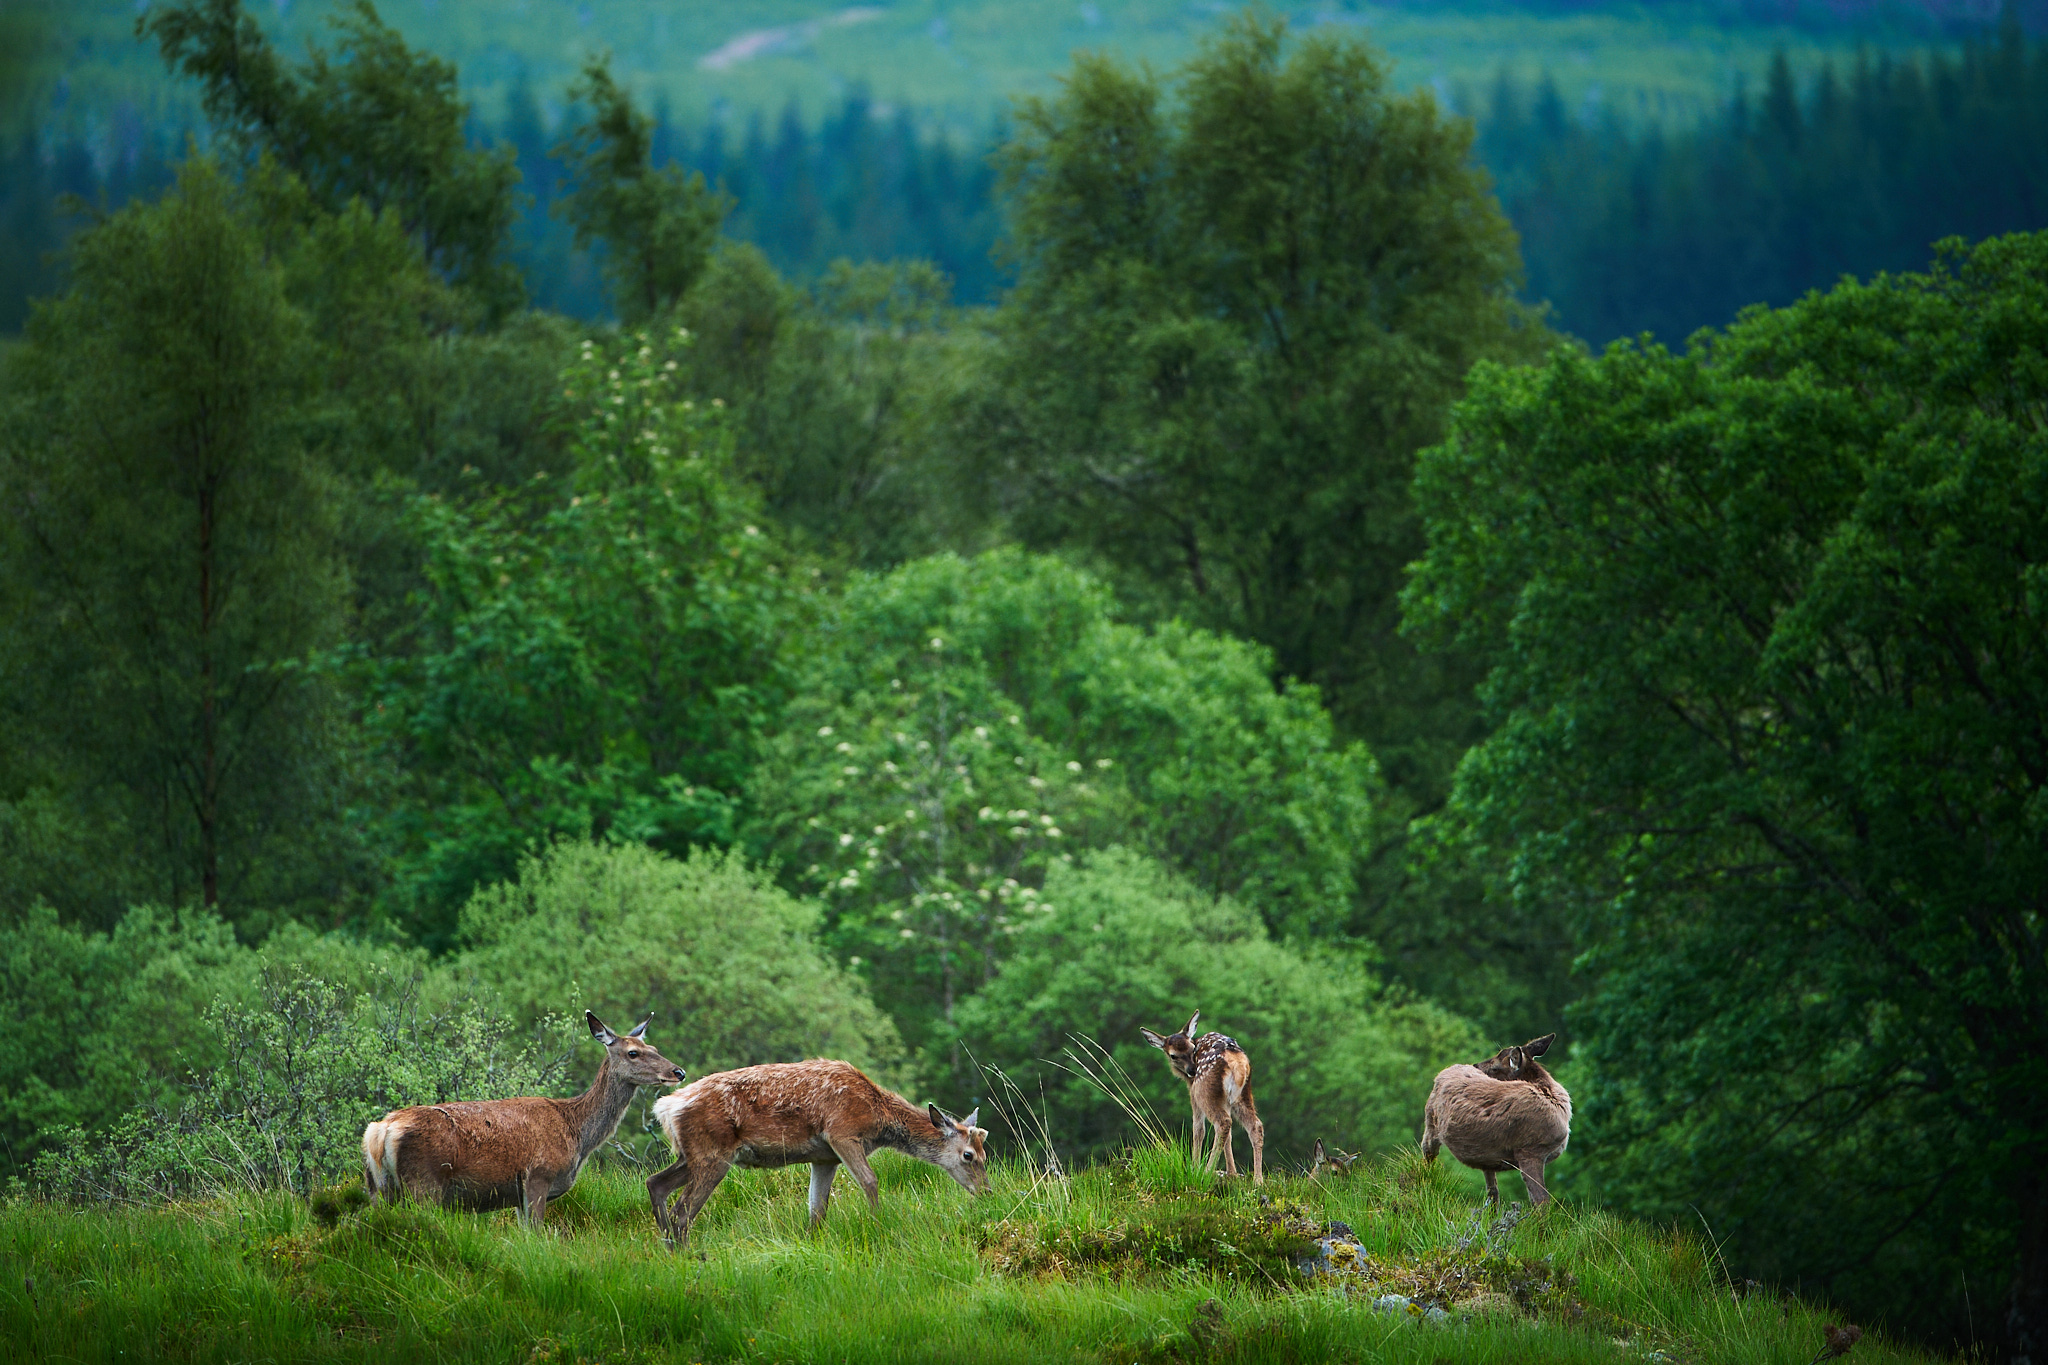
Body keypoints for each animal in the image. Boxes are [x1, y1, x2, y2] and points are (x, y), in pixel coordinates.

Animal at [360, 1011, 686, 1226]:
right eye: (632, 1053)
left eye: (653, 1048)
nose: (678, 1071)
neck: (577, 1132)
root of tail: (381, 1131)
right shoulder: (538, 1175)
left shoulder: (517, 1195)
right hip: (424, 1183)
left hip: (377, 1185)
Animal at [646, 1059, 988, 1248]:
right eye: (968, 1155)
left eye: (986, 1153)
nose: (986, 1191)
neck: (878, 1118)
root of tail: (666, 1107)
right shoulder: (841, 1132)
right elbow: (870, 1181)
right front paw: (878, 1224)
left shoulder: (824, 1158)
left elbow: (817, 1210)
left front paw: (813, 1243)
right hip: (712, 1153)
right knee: (682, 1211)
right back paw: (686, 1254)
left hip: (692, 1155)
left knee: (656, 1183)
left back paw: (669, 1252)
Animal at [1139, 1011, 1265, 1184]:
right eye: (1173, 1055)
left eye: (1192, 1049)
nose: (1192, 1070)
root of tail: (1236, 1060)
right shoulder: (1224, 1099)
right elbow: (1229, 1138)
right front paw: (1231, 1174)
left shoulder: (1192, 1093)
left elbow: (1198, 1130)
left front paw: (1194, 1168)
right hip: (1241, 1093)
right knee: (1254, 1125)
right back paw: (1258, 1180)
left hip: (1203, 1090)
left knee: (1223, 1123)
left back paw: (1206, 1172)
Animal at [1421, 1033, 1571, 1206]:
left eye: (1495, 1068)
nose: (1475, 1065)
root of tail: (1443, 1072)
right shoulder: (1529, 1150)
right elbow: (1541, 1201)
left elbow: (1538, 1200)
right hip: (1431, 1122)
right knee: (1427, 1153)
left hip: (1484, 1153)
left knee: (1492, 1191)